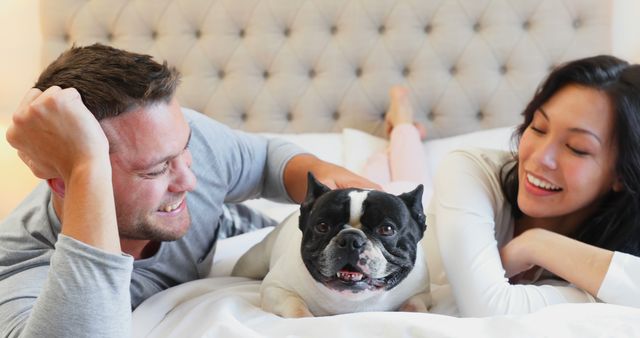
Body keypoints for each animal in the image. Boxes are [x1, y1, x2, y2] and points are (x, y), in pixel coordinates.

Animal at [231, 173, 430, 318]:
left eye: (387, 229)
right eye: (322, 226)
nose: (350, 240)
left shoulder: (420, 293)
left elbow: (416, 305)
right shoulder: (275, 288)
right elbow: (295, 305)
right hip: (251, 264)